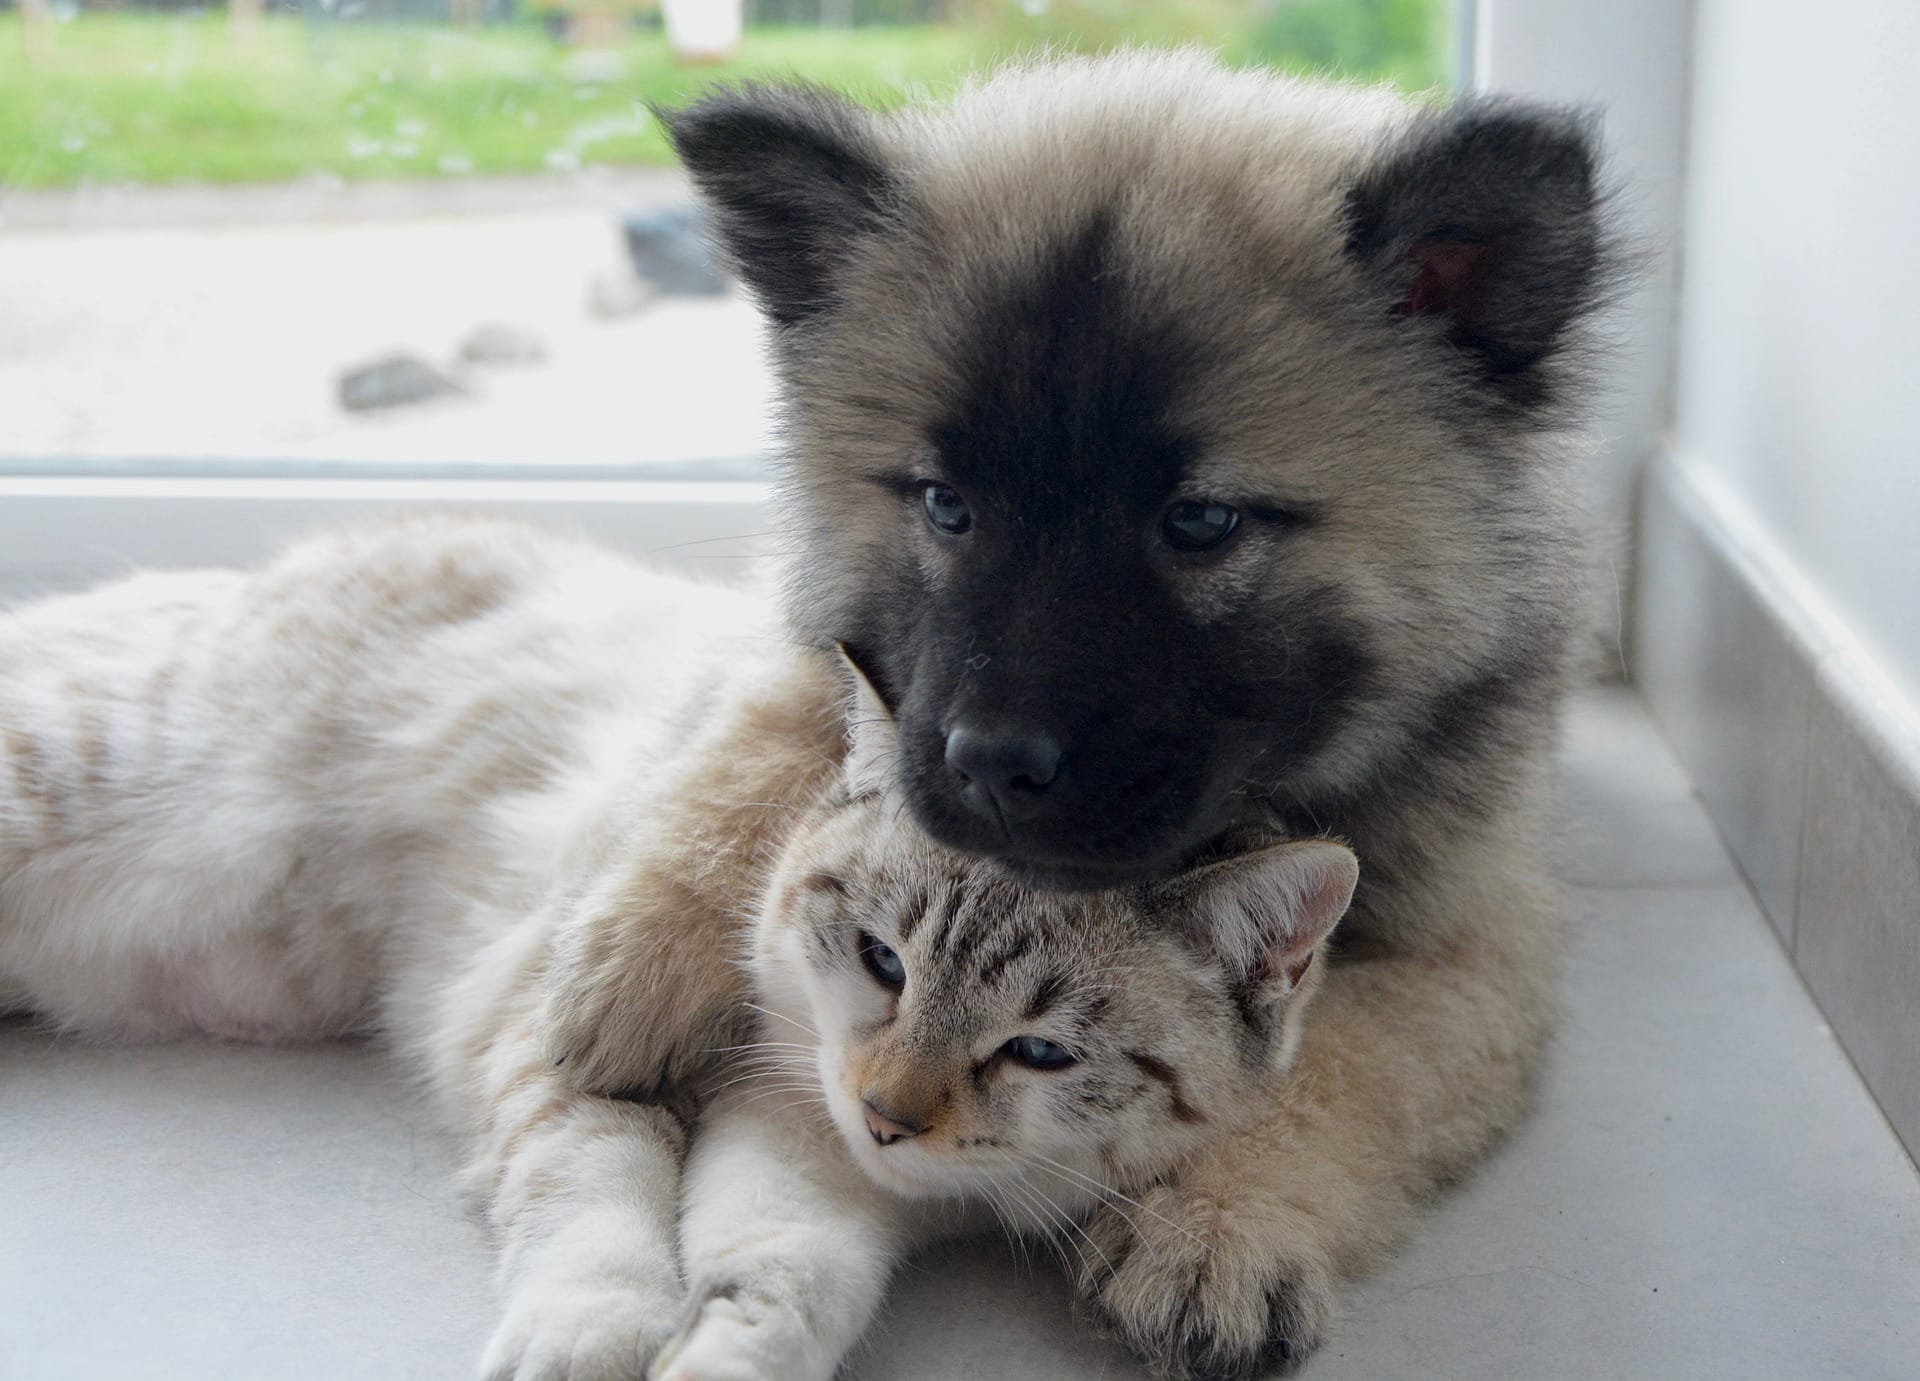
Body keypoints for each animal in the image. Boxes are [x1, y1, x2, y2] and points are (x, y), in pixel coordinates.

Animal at [0, 514, 1359, 1375]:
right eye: (882, 961)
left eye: (1039, 1053)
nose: (888, 1115)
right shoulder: (566, 1042)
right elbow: (600, 1195)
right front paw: (585, 1346)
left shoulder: (820, 1173)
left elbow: (776, 1286)